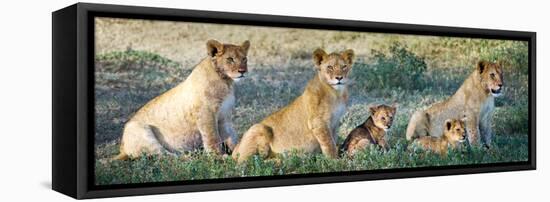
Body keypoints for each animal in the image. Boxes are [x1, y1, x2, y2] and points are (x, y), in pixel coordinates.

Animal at [113, 39, 251, 159]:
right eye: (230, 59)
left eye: (244, 58)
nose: (242, 71)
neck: (226, 81)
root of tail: (122, 150)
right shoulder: (206, 114)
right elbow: (212, 137)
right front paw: (219, 156)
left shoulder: (225, 116)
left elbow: (231, 136)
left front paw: (239, 150)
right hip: (139, 130)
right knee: (166, 157)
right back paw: (189, 158)